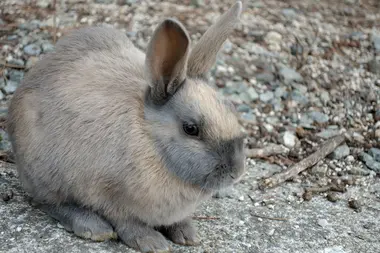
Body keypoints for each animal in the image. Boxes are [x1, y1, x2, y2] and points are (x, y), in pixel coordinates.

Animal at [6, 0, 246, 252]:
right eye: (191, 129)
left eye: (232, 110)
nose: (237, 172)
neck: (151, 141)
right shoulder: (106, 194)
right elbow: (126, 220)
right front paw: (151, 242)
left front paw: (187, 234)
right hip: (44, 175)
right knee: (46, 201)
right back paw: (93, 227)